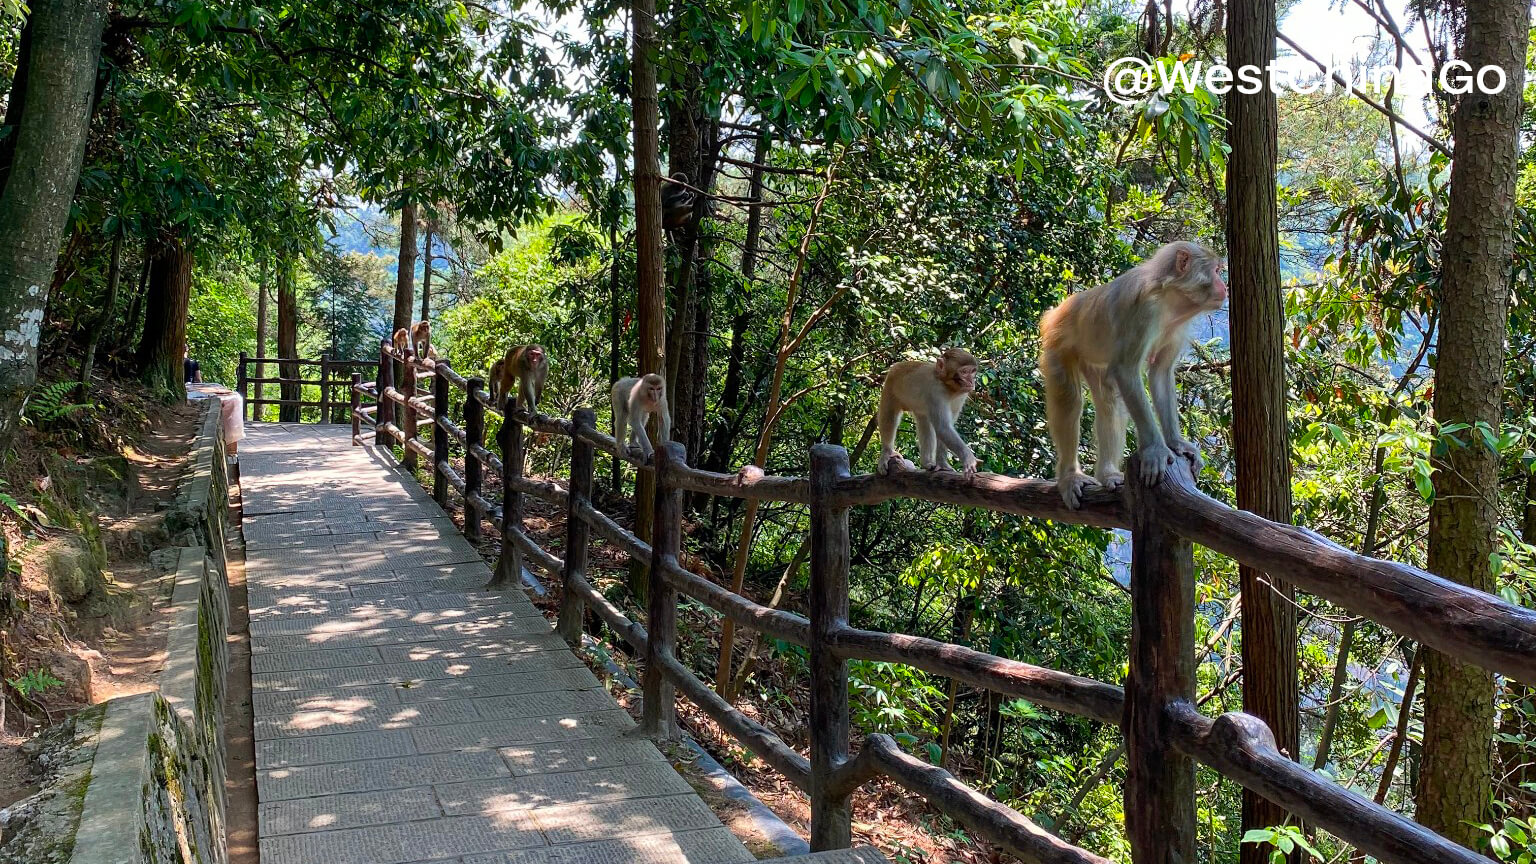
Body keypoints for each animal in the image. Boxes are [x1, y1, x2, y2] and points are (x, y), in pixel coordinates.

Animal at [878, 345, 983, 473]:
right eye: (964, 372)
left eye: (972, 371)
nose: (971, 381)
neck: (948, 386)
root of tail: (897, 365)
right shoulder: (935, 391)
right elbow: (943, 427)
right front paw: (968, 458)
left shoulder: (962, 395)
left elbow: (946, 428)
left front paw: (942, 464)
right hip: (890, 387)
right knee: (889, 417)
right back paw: (887, 452)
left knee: (925, 423)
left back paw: (926, 463)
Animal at [1038, 236, 1228, 504]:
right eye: (1216, 271)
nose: (1225, 286)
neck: (1170, 297)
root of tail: (1057, 311)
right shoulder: (1144, 310)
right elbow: (1126, 370)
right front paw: (1155, 450)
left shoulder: (1178, 324)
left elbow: (1160, 373)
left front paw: (1176, 443)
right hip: (1058, 341)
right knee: (1069, 399)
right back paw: (1069, 476)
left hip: (1090, 356)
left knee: (1109, 400)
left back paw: (1107, 474)